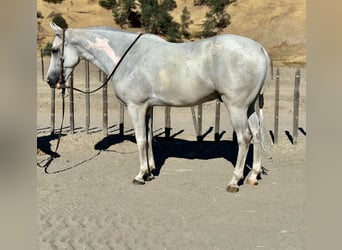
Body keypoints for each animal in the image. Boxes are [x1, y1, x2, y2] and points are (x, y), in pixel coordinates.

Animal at [46, 23, 270, 192]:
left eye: (55, 50)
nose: (50, 80)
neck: (128, 57)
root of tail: (259, 48)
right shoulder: (148, 107)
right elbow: (149, 138)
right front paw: (150, 171)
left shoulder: (135, 107)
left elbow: (140, 140)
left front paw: (140, 175)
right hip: (249, 107)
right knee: (257, 134)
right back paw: (253, 176)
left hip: (236, 107)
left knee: (244, 138)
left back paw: (234, 181)